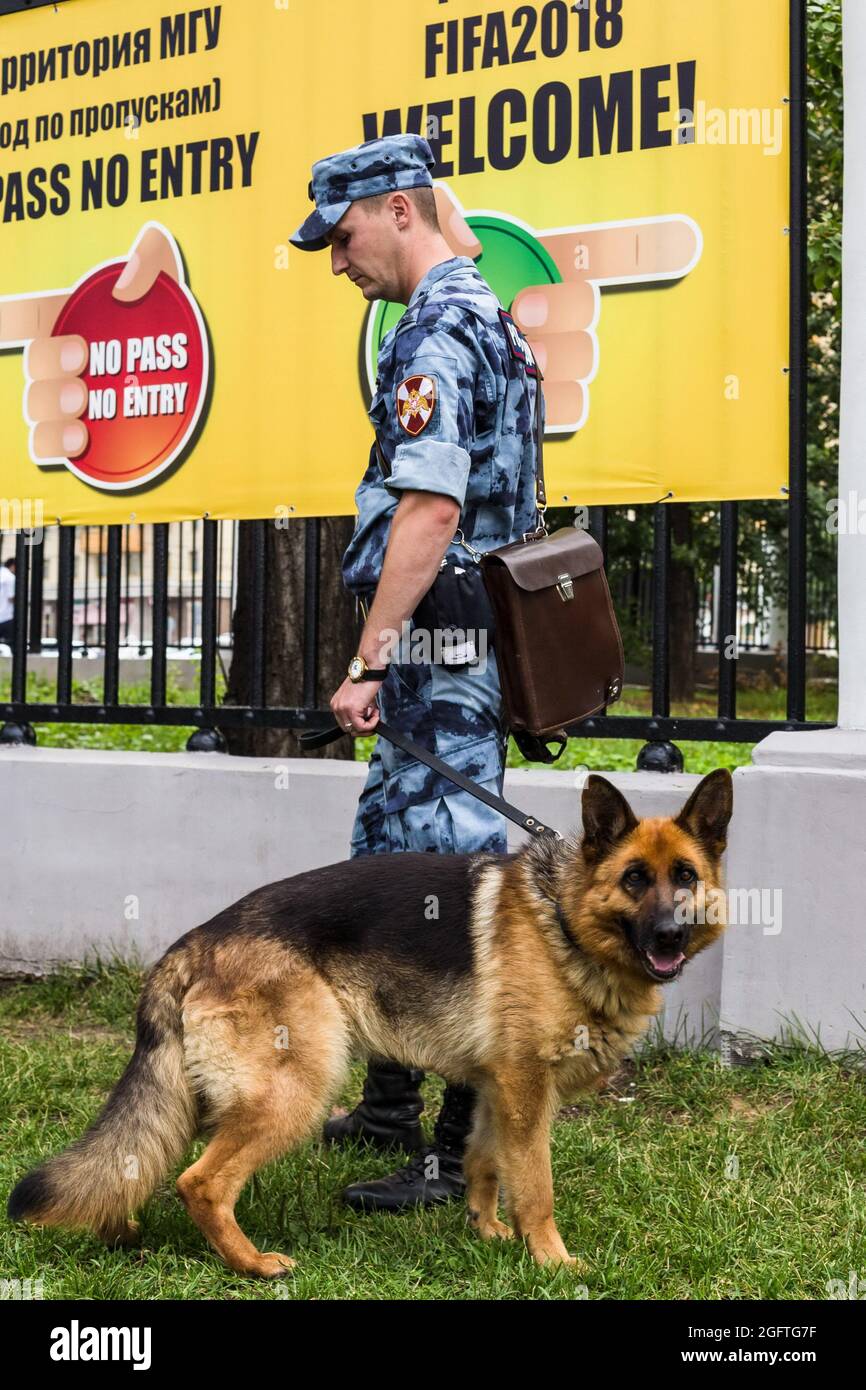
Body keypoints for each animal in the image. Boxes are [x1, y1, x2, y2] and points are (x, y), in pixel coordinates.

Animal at [10, 772, 733, 1273]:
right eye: (634, 879)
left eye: (685, 876)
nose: (670, 936)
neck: (566, 919)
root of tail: (193, 943)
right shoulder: (528, 1091)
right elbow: (535, 1186)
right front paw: (552, 1262)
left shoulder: (497, 1089)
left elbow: (483, 1162)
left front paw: (487, 1234)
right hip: (294, 1089)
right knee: (199, 1181)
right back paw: (251, 1264)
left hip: (202, 1096)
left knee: (137, 1158)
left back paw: (122, 1234)